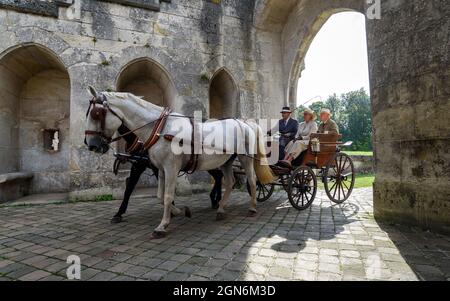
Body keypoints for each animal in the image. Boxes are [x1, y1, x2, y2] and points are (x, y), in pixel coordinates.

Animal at [84, 85, 274, 237]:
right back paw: (220, 209)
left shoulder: (171, 168)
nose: (91, 145)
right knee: (230, 181)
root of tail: (244, 122)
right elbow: (160, 196)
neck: (160, 129)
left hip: (245, 158)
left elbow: (168, 196)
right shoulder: (160, 169)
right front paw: (182, 211)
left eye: (96, 113)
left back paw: (252, 207)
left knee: (252, 180)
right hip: (226, 160)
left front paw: (162, 225)